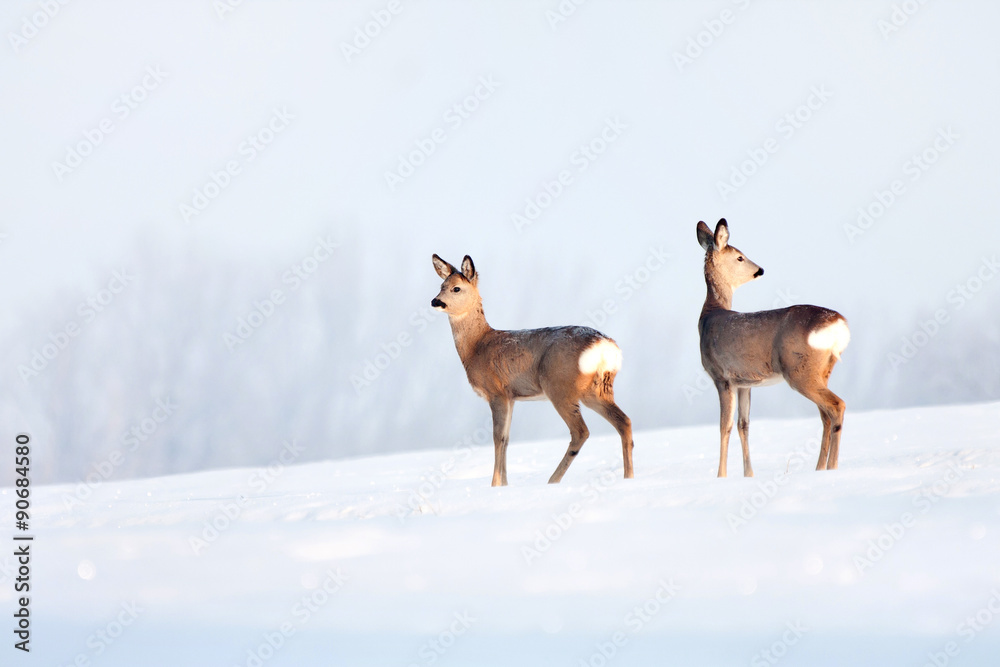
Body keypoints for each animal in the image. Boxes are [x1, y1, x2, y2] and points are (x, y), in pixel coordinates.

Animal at [430, 254, 634, 487]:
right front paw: (504, 485)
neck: (477, 346)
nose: (435, 301)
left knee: (580, 431)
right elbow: (507, 439)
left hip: (559, 386)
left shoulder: (497, 391)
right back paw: (629, 476)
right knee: (624, 421)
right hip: (597, 389)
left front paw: (495, 484)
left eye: (456, 288)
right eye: (441, 286)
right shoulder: (512, 397)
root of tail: (605, 346)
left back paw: (552, 480)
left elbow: (498, 437)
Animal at [696, 219, 850, 478]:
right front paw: (748, 474)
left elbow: (724, 426)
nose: (760, 270)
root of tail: (839, 323)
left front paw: (721, 476)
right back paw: (819, 468)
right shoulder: (743, 382)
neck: (709, 315)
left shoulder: (722, 376)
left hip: (799, 370)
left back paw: (832, 467)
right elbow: (743, 425)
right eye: (740, 257)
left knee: (836, 405)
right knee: (825, 415)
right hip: (823, 370)